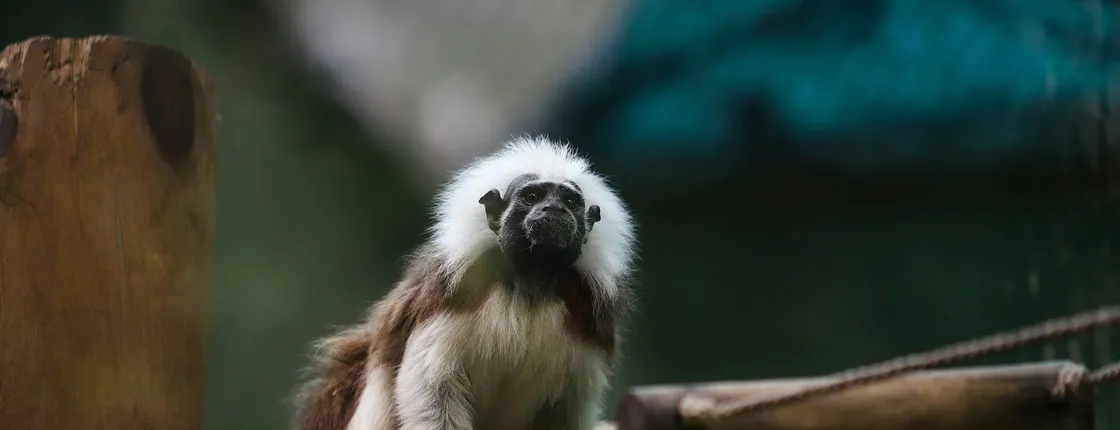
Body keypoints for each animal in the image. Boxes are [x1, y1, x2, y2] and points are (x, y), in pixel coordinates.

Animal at [293, 136, 637, 430]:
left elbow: (566, 411)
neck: (529, 288)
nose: (553, 209)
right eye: (532, 197)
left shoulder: (584, 313)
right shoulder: (453, 292)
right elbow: (431, 390)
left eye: (569, 200)